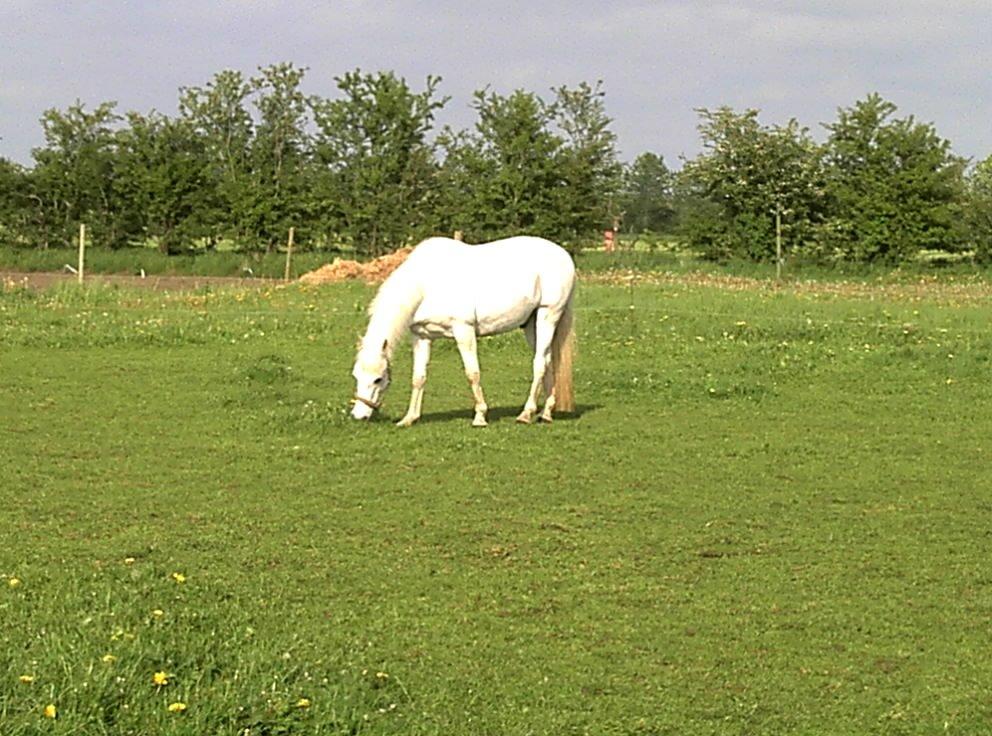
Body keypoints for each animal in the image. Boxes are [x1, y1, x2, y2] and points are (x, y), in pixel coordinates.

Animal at [352, 236, 576, 428]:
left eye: (378, 379)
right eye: (356, 376)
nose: (358, 416)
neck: (427, 285)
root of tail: (563, 254)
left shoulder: (463, 331)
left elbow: (472, 373)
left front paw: (480, 417)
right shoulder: (422, 337)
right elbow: (418, 377)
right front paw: (409, 418)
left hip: (548, 315)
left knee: (539, 363)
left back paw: (526, 414)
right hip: (531, 324)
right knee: (547, 360)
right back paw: (545, 413)